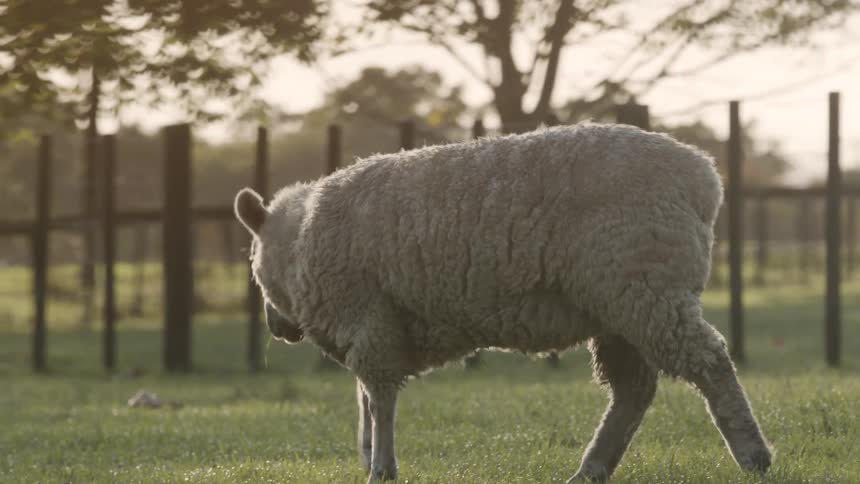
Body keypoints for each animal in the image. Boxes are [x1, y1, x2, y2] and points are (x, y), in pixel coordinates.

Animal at [234, 122, 772, 483]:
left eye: (252, 262)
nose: (278, 328)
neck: (297, 240)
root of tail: (702, 174)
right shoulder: (373, 327)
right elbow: (366, 398)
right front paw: (370, 457)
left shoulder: (369, 320)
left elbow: (379, 398)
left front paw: (381, 467)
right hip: (621, 304)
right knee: (633, 390)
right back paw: (591, 469)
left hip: (646, 289)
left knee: (709, 361)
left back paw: (753, 454)